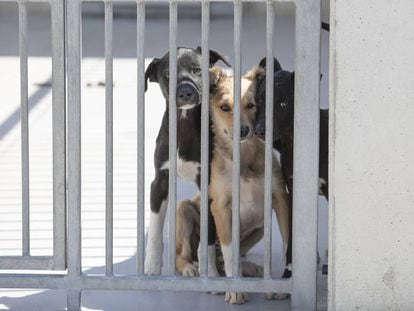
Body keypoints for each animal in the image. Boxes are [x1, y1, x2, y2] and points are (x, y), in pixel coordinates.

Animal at [145, 46, 230, 276]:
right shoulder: (159, 182)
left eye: (196, 70)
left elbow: (207, 236)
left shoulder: (209, 185)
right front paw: (152, 266)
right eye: (167, 74)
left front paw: (209, 271)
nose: (185, 92)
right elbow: (155, 231)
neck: (183, 123)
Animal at [209, 67, 290, 304]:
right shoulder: (220, 207)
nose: (244, 130)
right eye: (224, 107)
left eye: (251, 105)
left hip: (259, 229)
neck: (244, 159)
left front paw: (280, 284)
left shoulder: (280, 198)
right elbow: (229, 253)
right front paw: (234, 290)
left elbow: (287, 243)